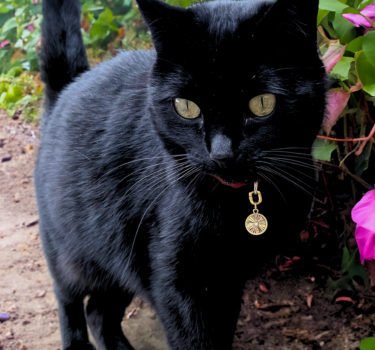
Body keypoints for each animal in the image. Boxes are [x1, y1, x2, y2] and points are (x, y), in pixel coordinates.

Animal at [34, 0, 328, 348]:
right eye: (185, 107)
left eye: (262, 103)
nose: (221, 153)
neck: (235, 203)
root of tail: (66, 90)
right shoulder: (178, 283)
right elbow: (194, 338)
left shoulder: (228, 279)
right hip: (71, 253)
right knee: (68, 299)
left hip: (119, 257)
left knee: (98, 310)